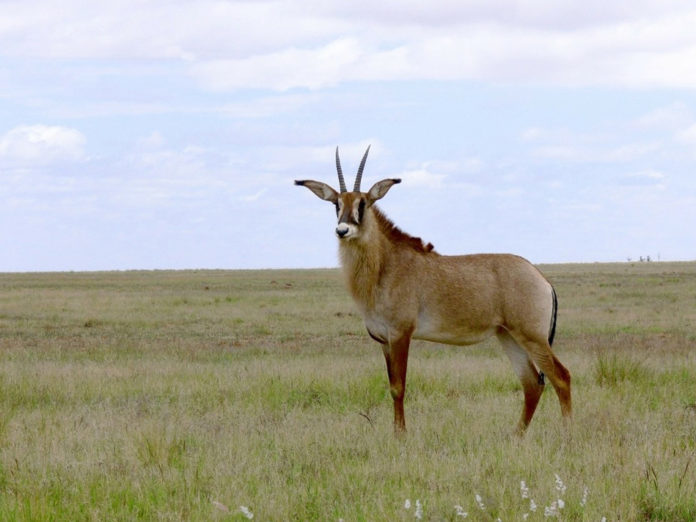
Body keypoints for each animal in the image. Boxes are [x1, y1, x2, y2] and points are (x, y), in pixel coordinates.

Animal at [294, 144, 572, 432]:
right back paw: (515, 436)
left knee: (561, 377)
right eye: (336, 203)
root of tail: (542, 279)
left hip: (532, 336)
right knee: (532, 384)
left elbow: (398, 388)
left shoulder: (401, 335)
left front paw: (401, 435)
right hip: (508, 336)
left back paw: (566, 435)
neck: (385, 265)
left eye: (363, 203)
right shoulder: (384, 341)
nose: (342, 230)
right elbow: (392, 387)